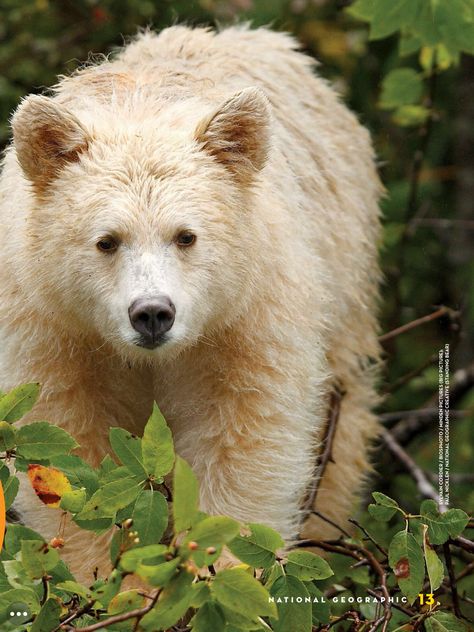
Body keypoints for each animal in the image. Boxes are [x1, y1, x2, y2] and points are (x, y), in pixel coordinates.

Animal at [0, 24, 382, 580]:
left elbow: (246, 434)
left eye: (186, 236)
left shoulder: (247, 313)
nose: (152, 314)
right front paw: (102, 575)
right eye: (107, 241)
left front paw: (217, 565)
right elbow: (67, 445)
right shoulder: (53, 324)